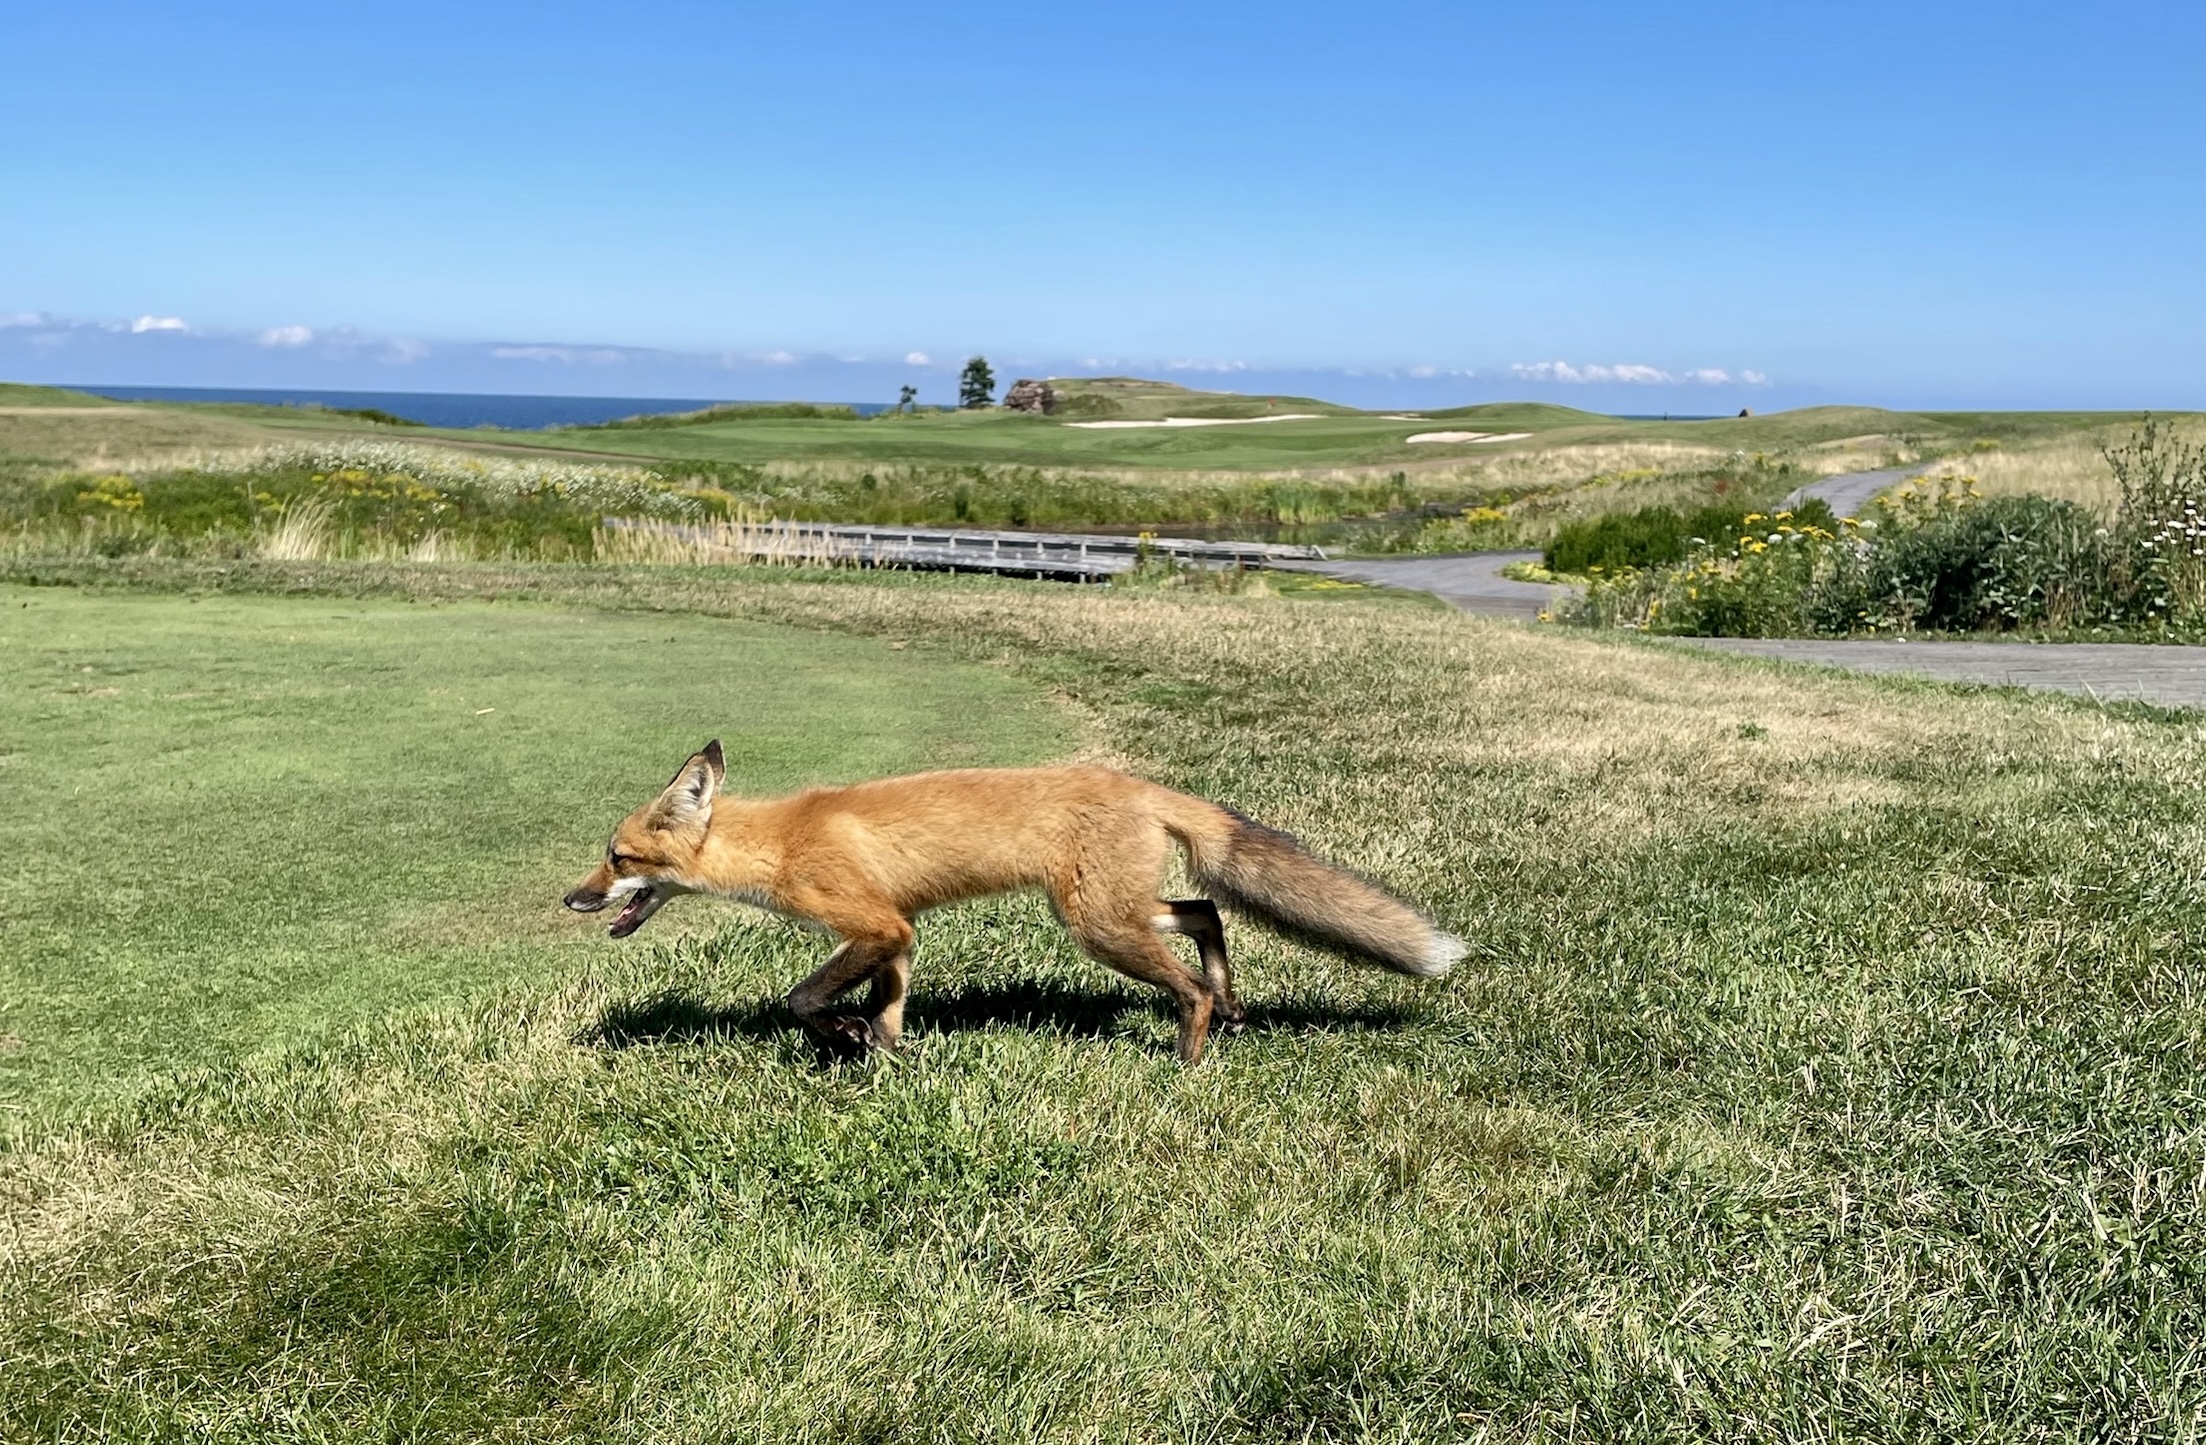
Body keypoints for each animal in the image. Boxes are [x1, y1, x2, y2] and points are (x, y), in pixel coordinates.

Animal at [564, 741, 1463, 1063]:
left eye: (617, 857)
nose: (573, 897)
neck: (782, 841)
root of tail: (1140, 784)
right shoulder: (901, 934)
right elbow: (889, 1011)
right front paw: (882, 1060)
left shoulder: (873, 922)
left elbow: (803, 998)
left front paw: (843, 1036)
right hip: (1111, 912)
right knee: (1207, 912)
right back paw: (1232, 1005)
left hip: (1099, 927)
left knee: (1190, 976)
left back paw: (1189, 1058)